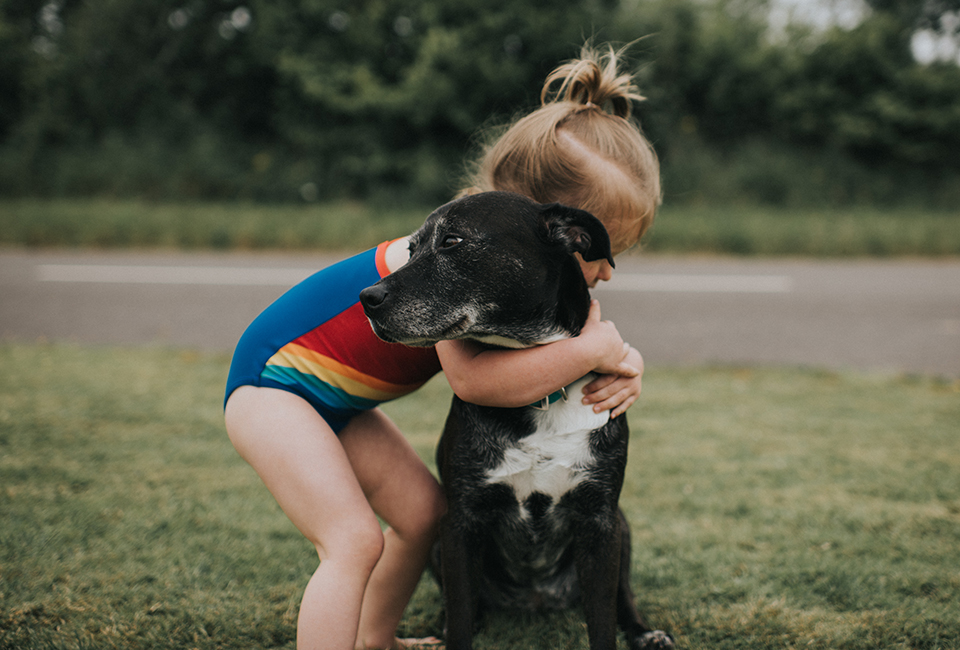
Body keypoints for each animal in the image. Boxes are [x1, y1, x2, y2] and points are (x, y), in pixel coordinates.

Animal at [360, 190, 676, 644]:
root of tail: (536, 599)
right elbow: (460, 618)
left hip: (622, 527)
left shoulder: (600, 524)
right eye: (411, 249)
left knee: (624, 597)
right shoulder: (460, 524)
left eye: (452, 241)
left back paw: (644, 632)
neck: (541, 392)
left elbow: (602, 620)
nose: (367, 297)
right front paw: (455, 629)